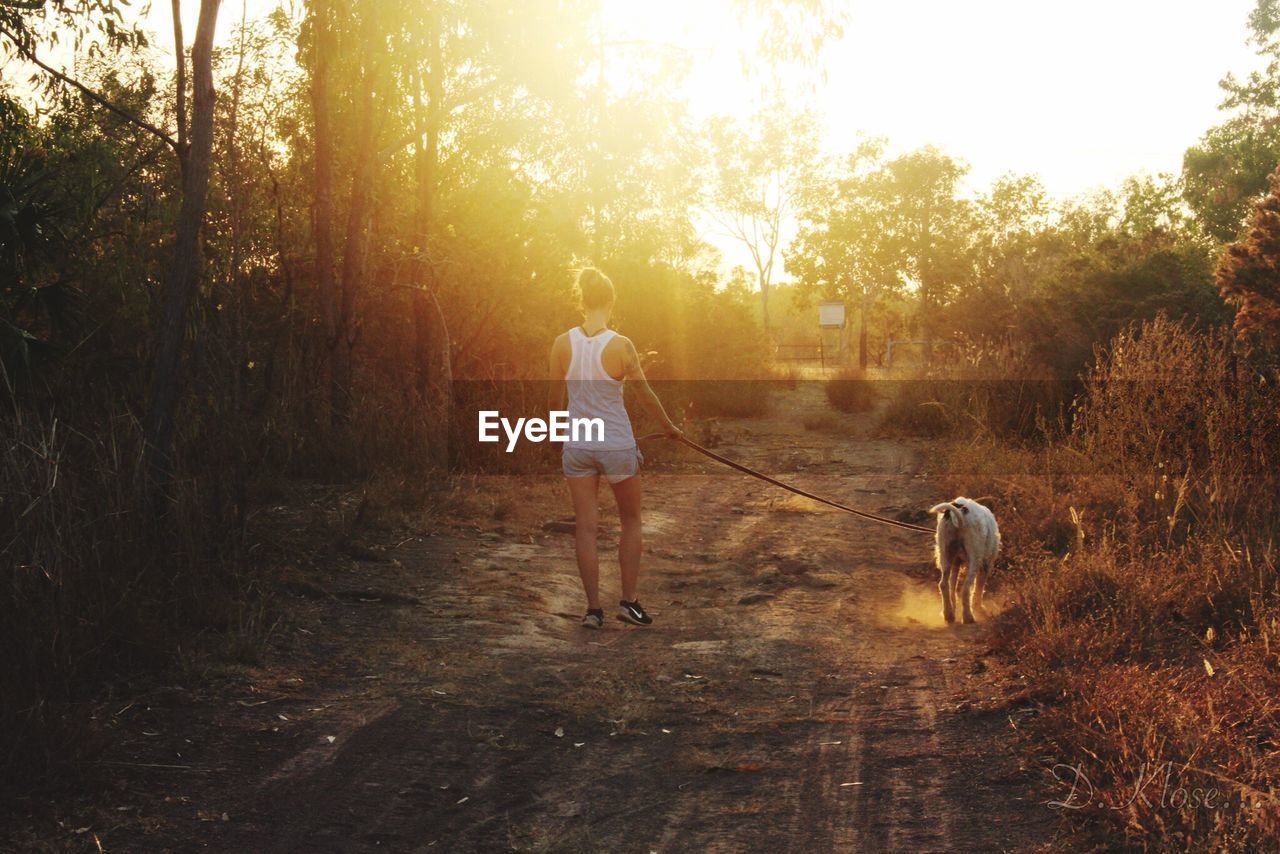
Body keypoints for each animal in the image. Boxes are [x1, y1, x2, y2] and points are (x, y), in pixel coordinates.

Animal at [931, 496, 998, 624]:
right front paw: (978, 608)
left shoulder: (955, 563)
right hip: (975, 559)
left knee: (943, 584)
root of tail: (959, 509)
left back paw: (948, 614)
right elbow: (979, 588)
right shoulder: (985, 565)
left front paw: (953, 606)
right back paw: (968, 616)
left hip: (945, 556)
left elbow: (952, 585)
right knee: (966, 589)